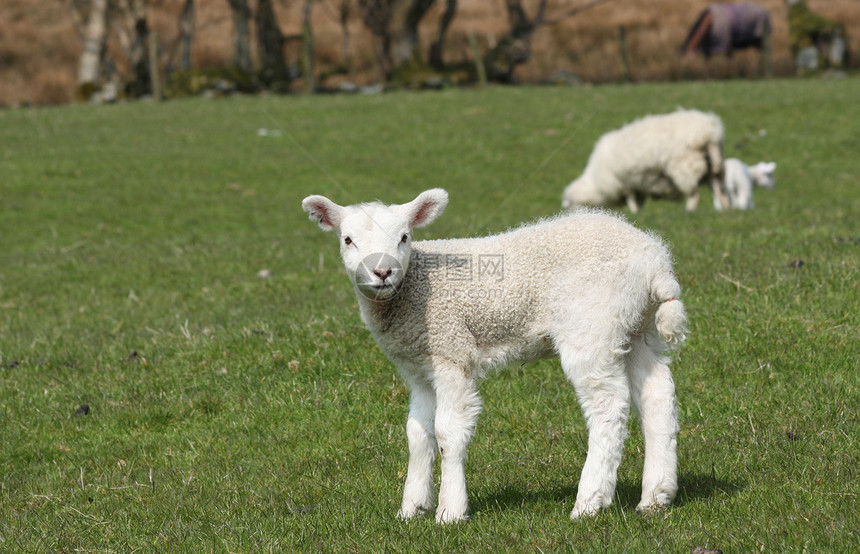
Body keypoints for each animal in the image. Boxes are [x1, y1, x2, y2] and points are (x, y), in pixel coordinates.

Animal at [304, 190, 692, 520]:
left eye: (404, 237)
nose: (382, 272)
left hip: (591, 324)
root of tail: (656, 262)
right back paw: (656, 497)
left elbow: (447, 432)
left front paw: (450, 510)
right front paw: (412, 508)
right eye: (347, 239)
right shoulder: (419, 367)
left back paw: (589, 502)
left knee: (608, 406)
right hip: (636, 327)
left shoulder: (452, 352)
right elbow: (417, 433)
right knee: (657, 397)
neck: (412, 290)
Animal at [560, 109, 728, 212]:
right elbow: (638, 201)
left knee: (694, 195)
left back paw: (690, 211)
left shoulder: (625, 183)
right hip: (714, 164)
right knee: (718, 189)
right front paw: (639, 212)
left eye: (569, 206)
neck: (596, 184)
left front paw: (634, 212)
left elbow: (631, 200)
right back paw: (725, 208)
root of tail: (709, 131)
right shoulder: (637, 185)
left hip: (685, 167)